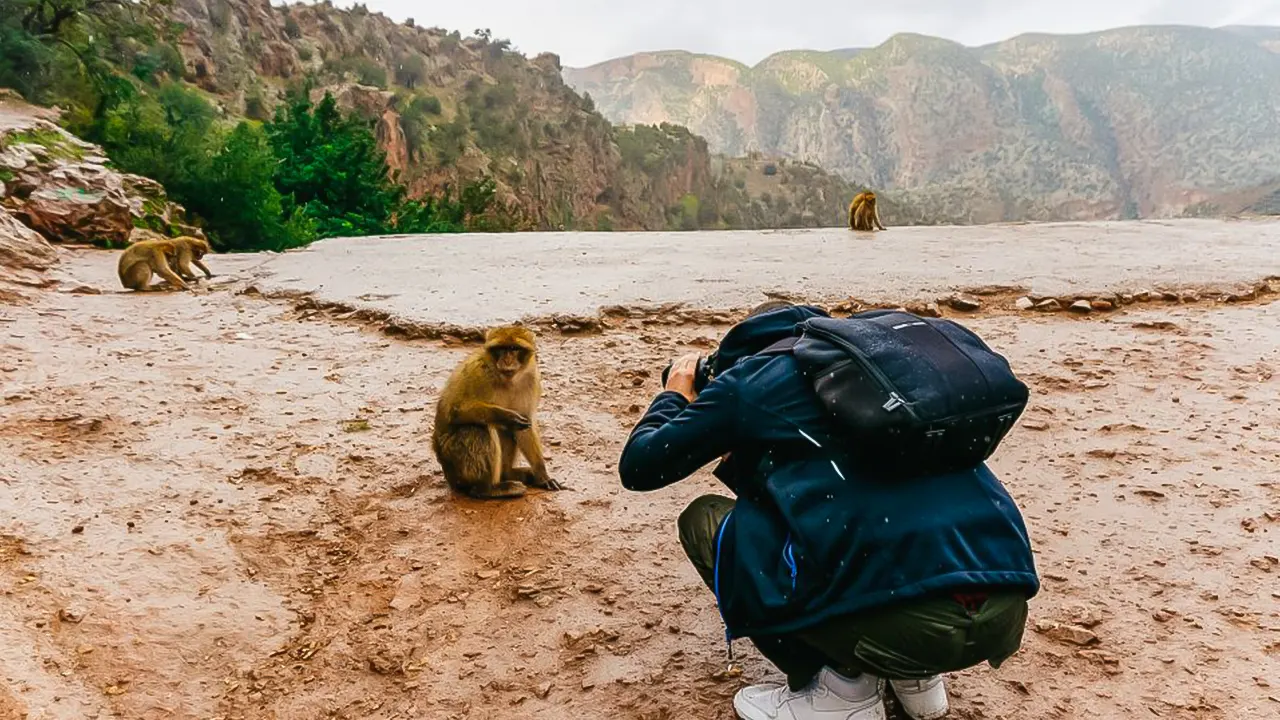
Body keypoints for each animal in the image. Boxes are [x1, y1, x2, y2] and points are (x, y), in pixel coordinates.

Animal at [430, 325, 560, 499]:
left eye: (514, 348)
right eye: (501, 349)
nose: (507, 360)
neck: (507, 380)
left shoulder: (531, 379)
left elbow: (526, 425)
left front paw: (542, 475)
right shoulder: (477, 372)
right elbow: (455, 410)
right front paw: (506, 416)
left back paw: (508, 474)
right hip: (452, 462)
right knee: (478, 430)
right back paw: (487, 489)